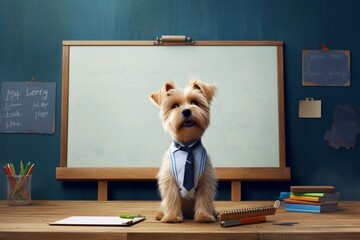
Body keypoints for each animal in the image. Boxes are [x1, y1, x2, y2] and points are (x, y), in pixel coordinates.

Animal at [149, 79, 217, 223]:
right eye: (174, 106)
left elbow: (204, 197)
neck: (187, 146)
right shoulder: (169, 178)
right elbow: (171, 198)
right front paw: (172, 217)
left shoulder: (205, 178)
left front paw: (204, 216)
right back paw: (161, 214)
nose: (186, 111)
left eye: (194, 102)